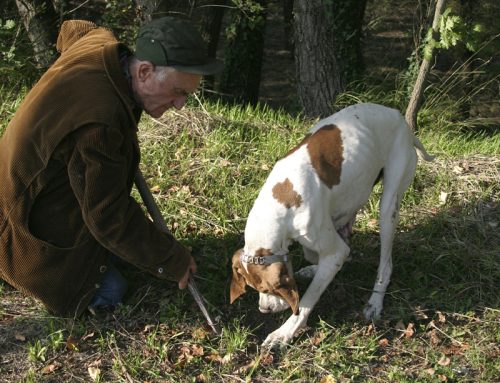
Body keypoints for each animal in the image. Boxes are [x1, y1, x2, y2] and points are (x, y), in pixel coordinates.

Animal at [229, 103, 432, 348]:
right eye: (253, 288)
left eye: (268, 289)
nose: (264, 309)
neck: (280, 200)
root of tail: (401, 120)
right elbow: (317, 254)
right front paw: (316, 268)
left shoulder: (330, 246)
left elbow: (306, 301)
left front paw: (284, 332)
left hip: (388, 207)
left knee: (386, 263)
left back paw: (375, 301)